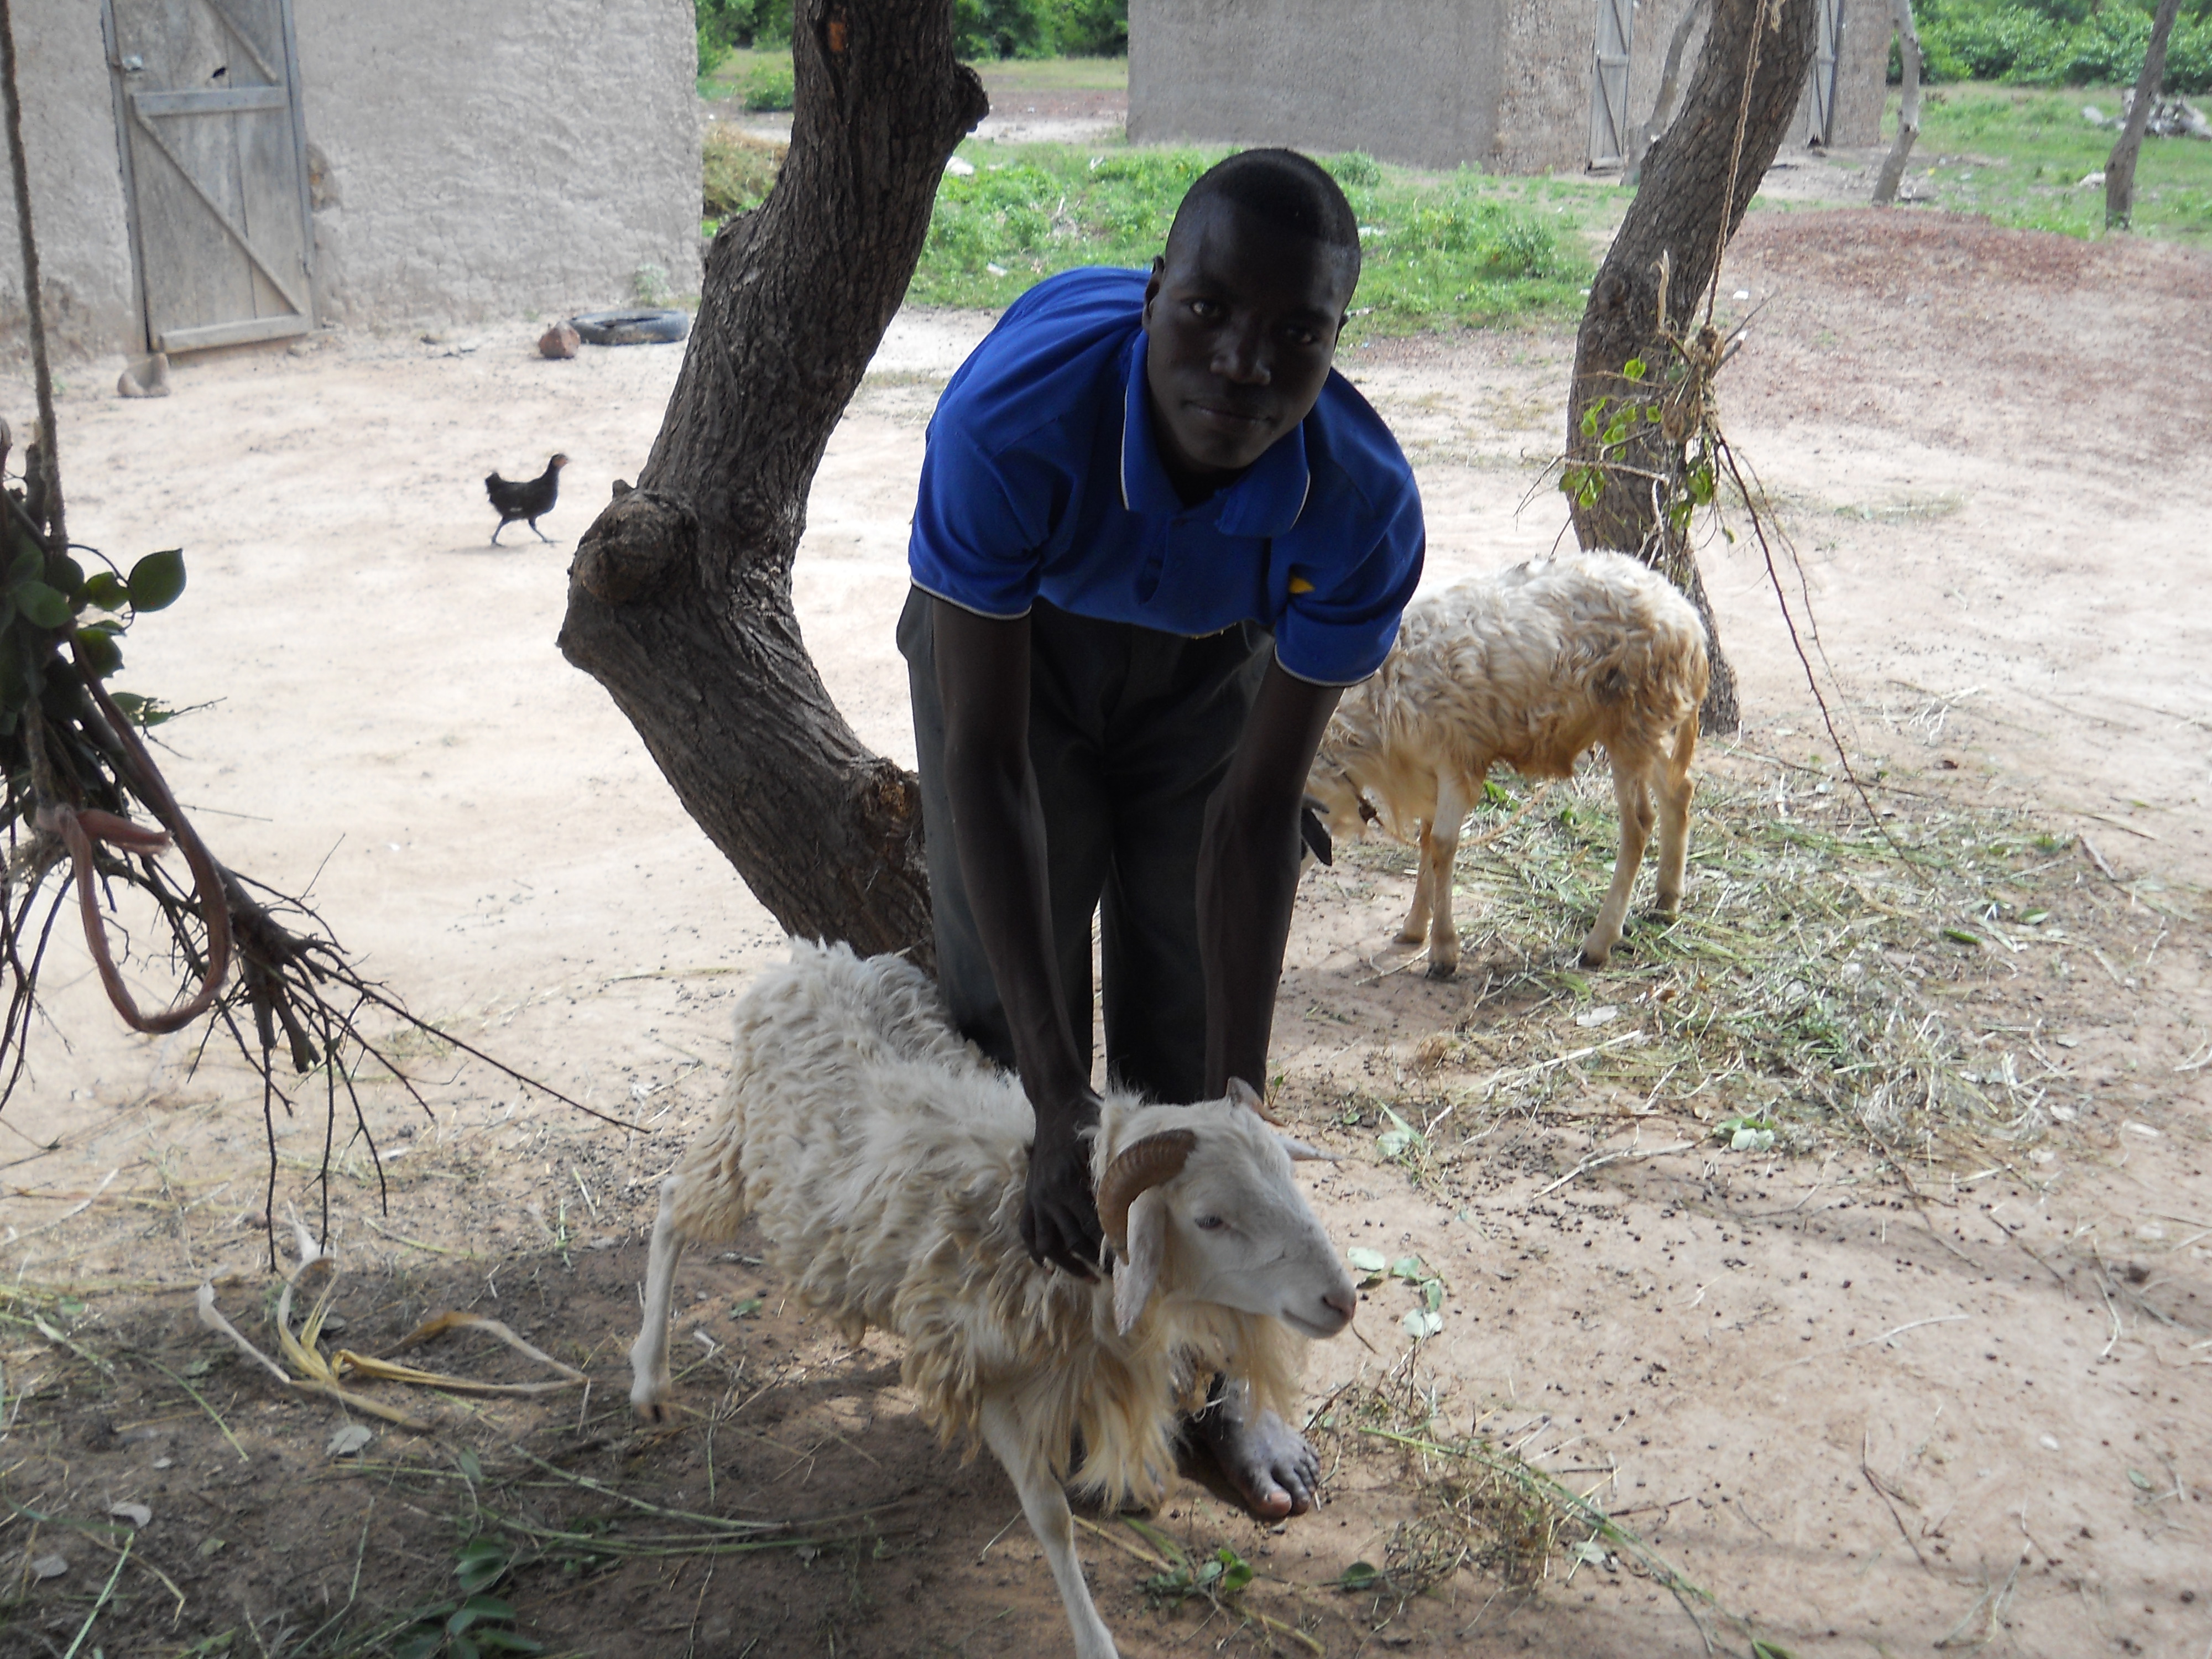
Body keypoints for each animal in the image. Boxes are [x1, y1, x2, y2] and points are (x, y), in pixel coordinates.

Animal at [619, 942, 1345, 1659]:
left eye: (1289, 1180)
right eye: (1210, 1219)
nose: (1340, 1299)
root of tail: (810, 959)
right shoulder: (985, 1370)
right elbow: (1050, 1518)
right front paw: (1094, 1639)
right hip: (744, 1140)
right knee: (671, 1207)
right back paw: (650, 1380)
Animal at [1310, 553, 1708, 982]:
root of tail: (1689, 619)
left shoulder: (1458, 756)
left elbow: (1443, 846)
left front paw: (1444, 950)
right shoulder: (1429, 767)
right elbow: (1427, 840)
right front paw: (1415, 927)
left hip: (1631, 718)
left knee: (1637, 825)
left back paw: (1599, 943)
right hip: (1643, 725)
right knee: (1678, 790)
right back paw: (1667, 900)